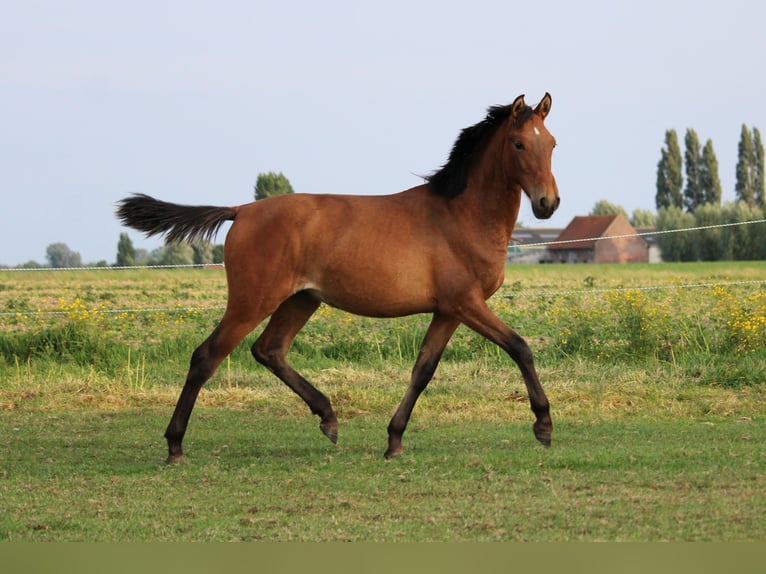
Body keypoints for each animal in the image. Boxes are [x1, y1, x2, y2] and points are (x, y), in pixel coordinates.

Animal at [116, 93, 559, 463]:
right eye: (519, 144)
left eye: (552, 143)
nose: (548, 203)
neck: (462, 215)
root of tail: (241, 210)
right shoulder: (467, 303)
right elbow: (520, 347)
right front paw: (543, 425)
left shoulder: (448, 310)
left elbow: (423, 370)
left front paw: (394, 440)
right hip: (251, 301)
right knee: (206, 357)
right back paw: (175, 446)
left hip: (301, 300)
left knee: (269, 350)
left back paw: (328, 417)